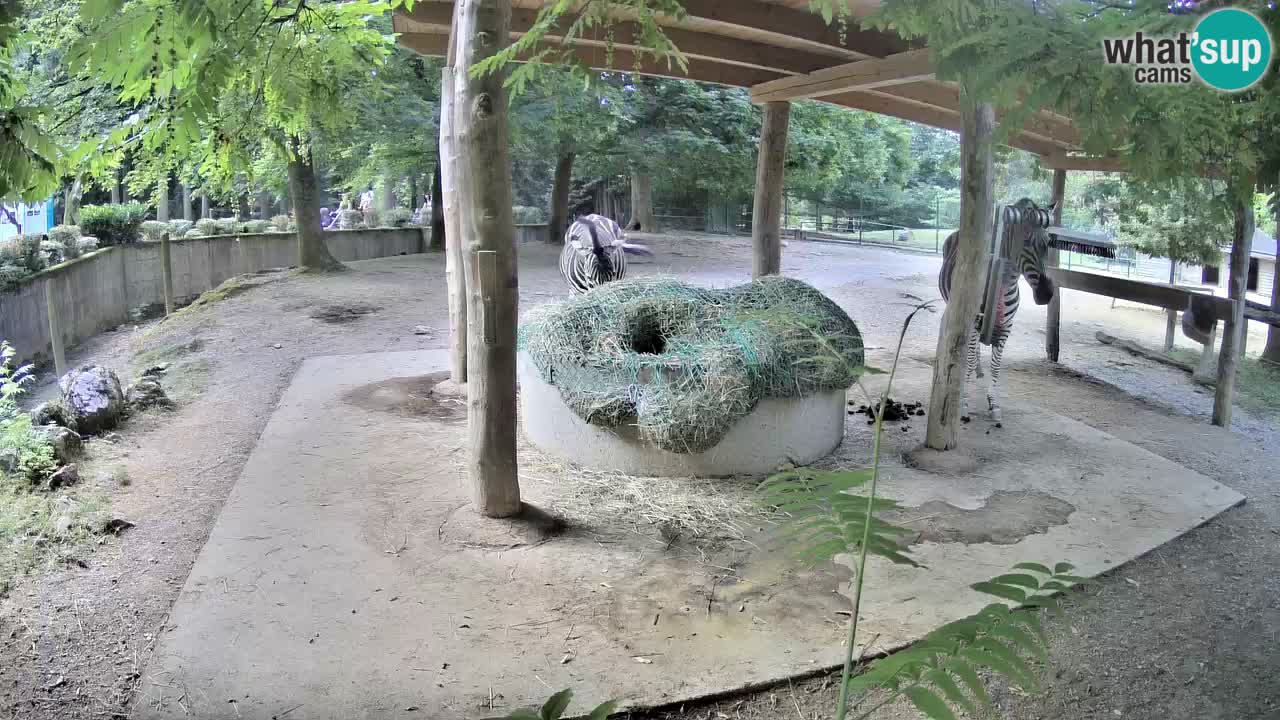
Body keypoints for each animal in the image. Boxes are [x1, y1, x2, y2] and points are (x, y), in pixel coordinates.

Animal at [938, 198, 1057, 426]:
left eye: (1048, 242)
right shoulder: (974, 322)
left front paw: (993, 404)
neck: (1004, 282)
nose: (1046, 294)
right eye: (1025, 241)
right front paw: (964, 404)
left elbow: (996, 365)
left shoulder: (1006, 328)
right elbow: (970, 359)